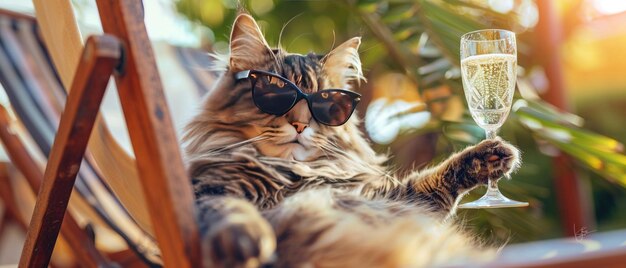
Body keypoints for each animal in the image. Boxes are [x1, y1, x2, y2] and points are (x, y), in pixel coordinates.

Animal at [183, 14, 520, 268]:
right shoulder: (207, 191)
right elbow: (229, 208)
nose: (300, 125)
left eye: (325, 103)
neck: (295, 175)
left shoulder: (394, 200)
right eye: (276, 93)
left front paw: (490, 157)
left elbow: (430, 180)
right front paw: (245, 238)